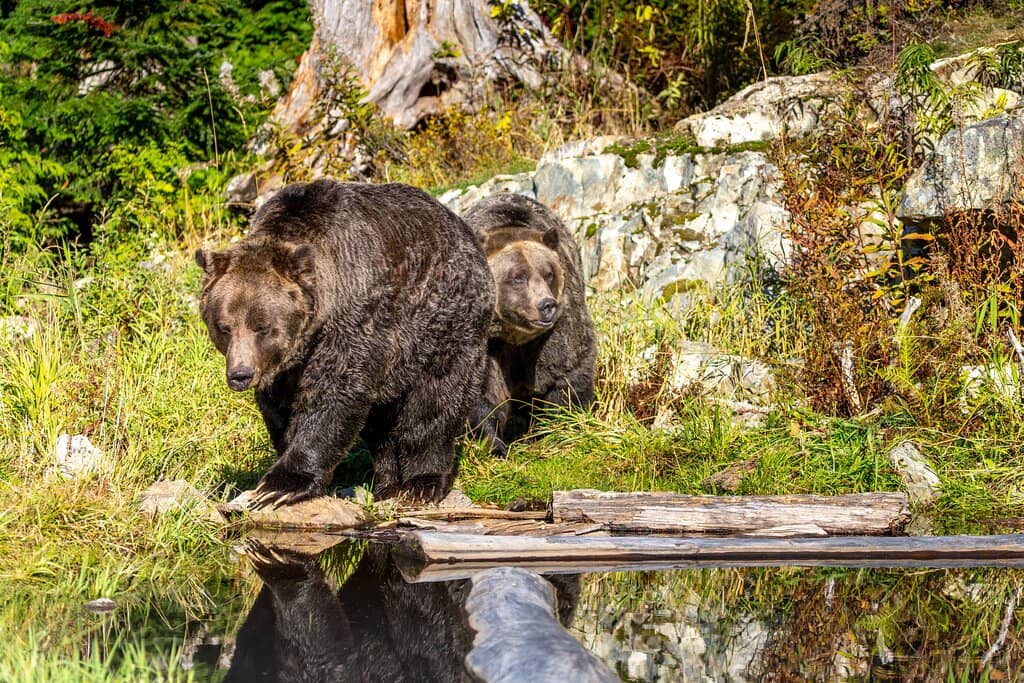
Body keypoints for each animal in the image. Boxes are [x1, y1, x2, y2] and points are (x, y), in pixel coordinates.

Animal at [195, 179, 495, 507]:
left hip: (446, 324)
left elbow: (333, 395)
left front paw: (280, 485)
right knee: (380, 427)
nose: (240, 374)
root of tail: (463, 228)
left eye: (262, 327)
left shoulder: (354, 319)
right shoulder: (285, 368)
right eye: (224, 327)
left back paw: (421, 483)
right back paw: (386, 484)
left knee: (437, 400)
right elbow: (280, 409)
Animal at [463, 193, 597, 457]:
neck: (514, 335)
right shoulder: (487, 342)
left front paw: (559, 425)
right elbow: (484, 390)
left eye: (548, 273)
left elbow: (568, 368)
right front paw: (493, 444)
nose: (546, 305)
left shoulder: (556, 330)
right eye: (518, 277)